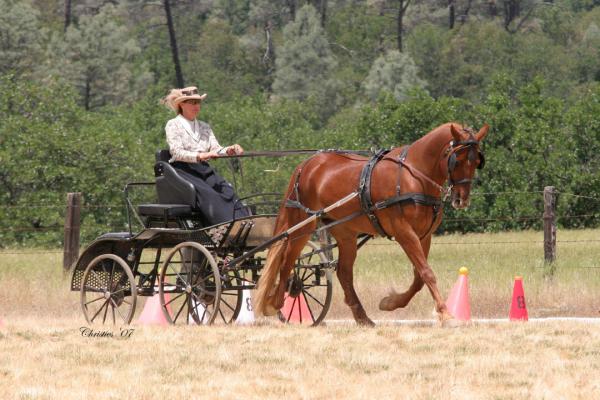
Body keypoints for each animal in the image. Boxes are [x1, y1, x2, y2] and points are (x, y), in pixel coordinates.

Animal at [253, 122, 488, 324]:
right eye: (457, 160)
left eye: (477, 162)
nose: (461, 199)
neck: (414, 176)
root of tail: (306, 165)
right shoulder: (404, 232)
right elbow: (427, 273)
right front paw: (445, 313)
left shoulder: (424, 235)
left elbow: (419, 276)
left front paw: (390, 303)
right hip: (303, 225)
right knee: (287, 260)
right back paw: (275, 303)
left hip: (344, 232)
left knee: (343, 272)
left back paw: (362, 317)